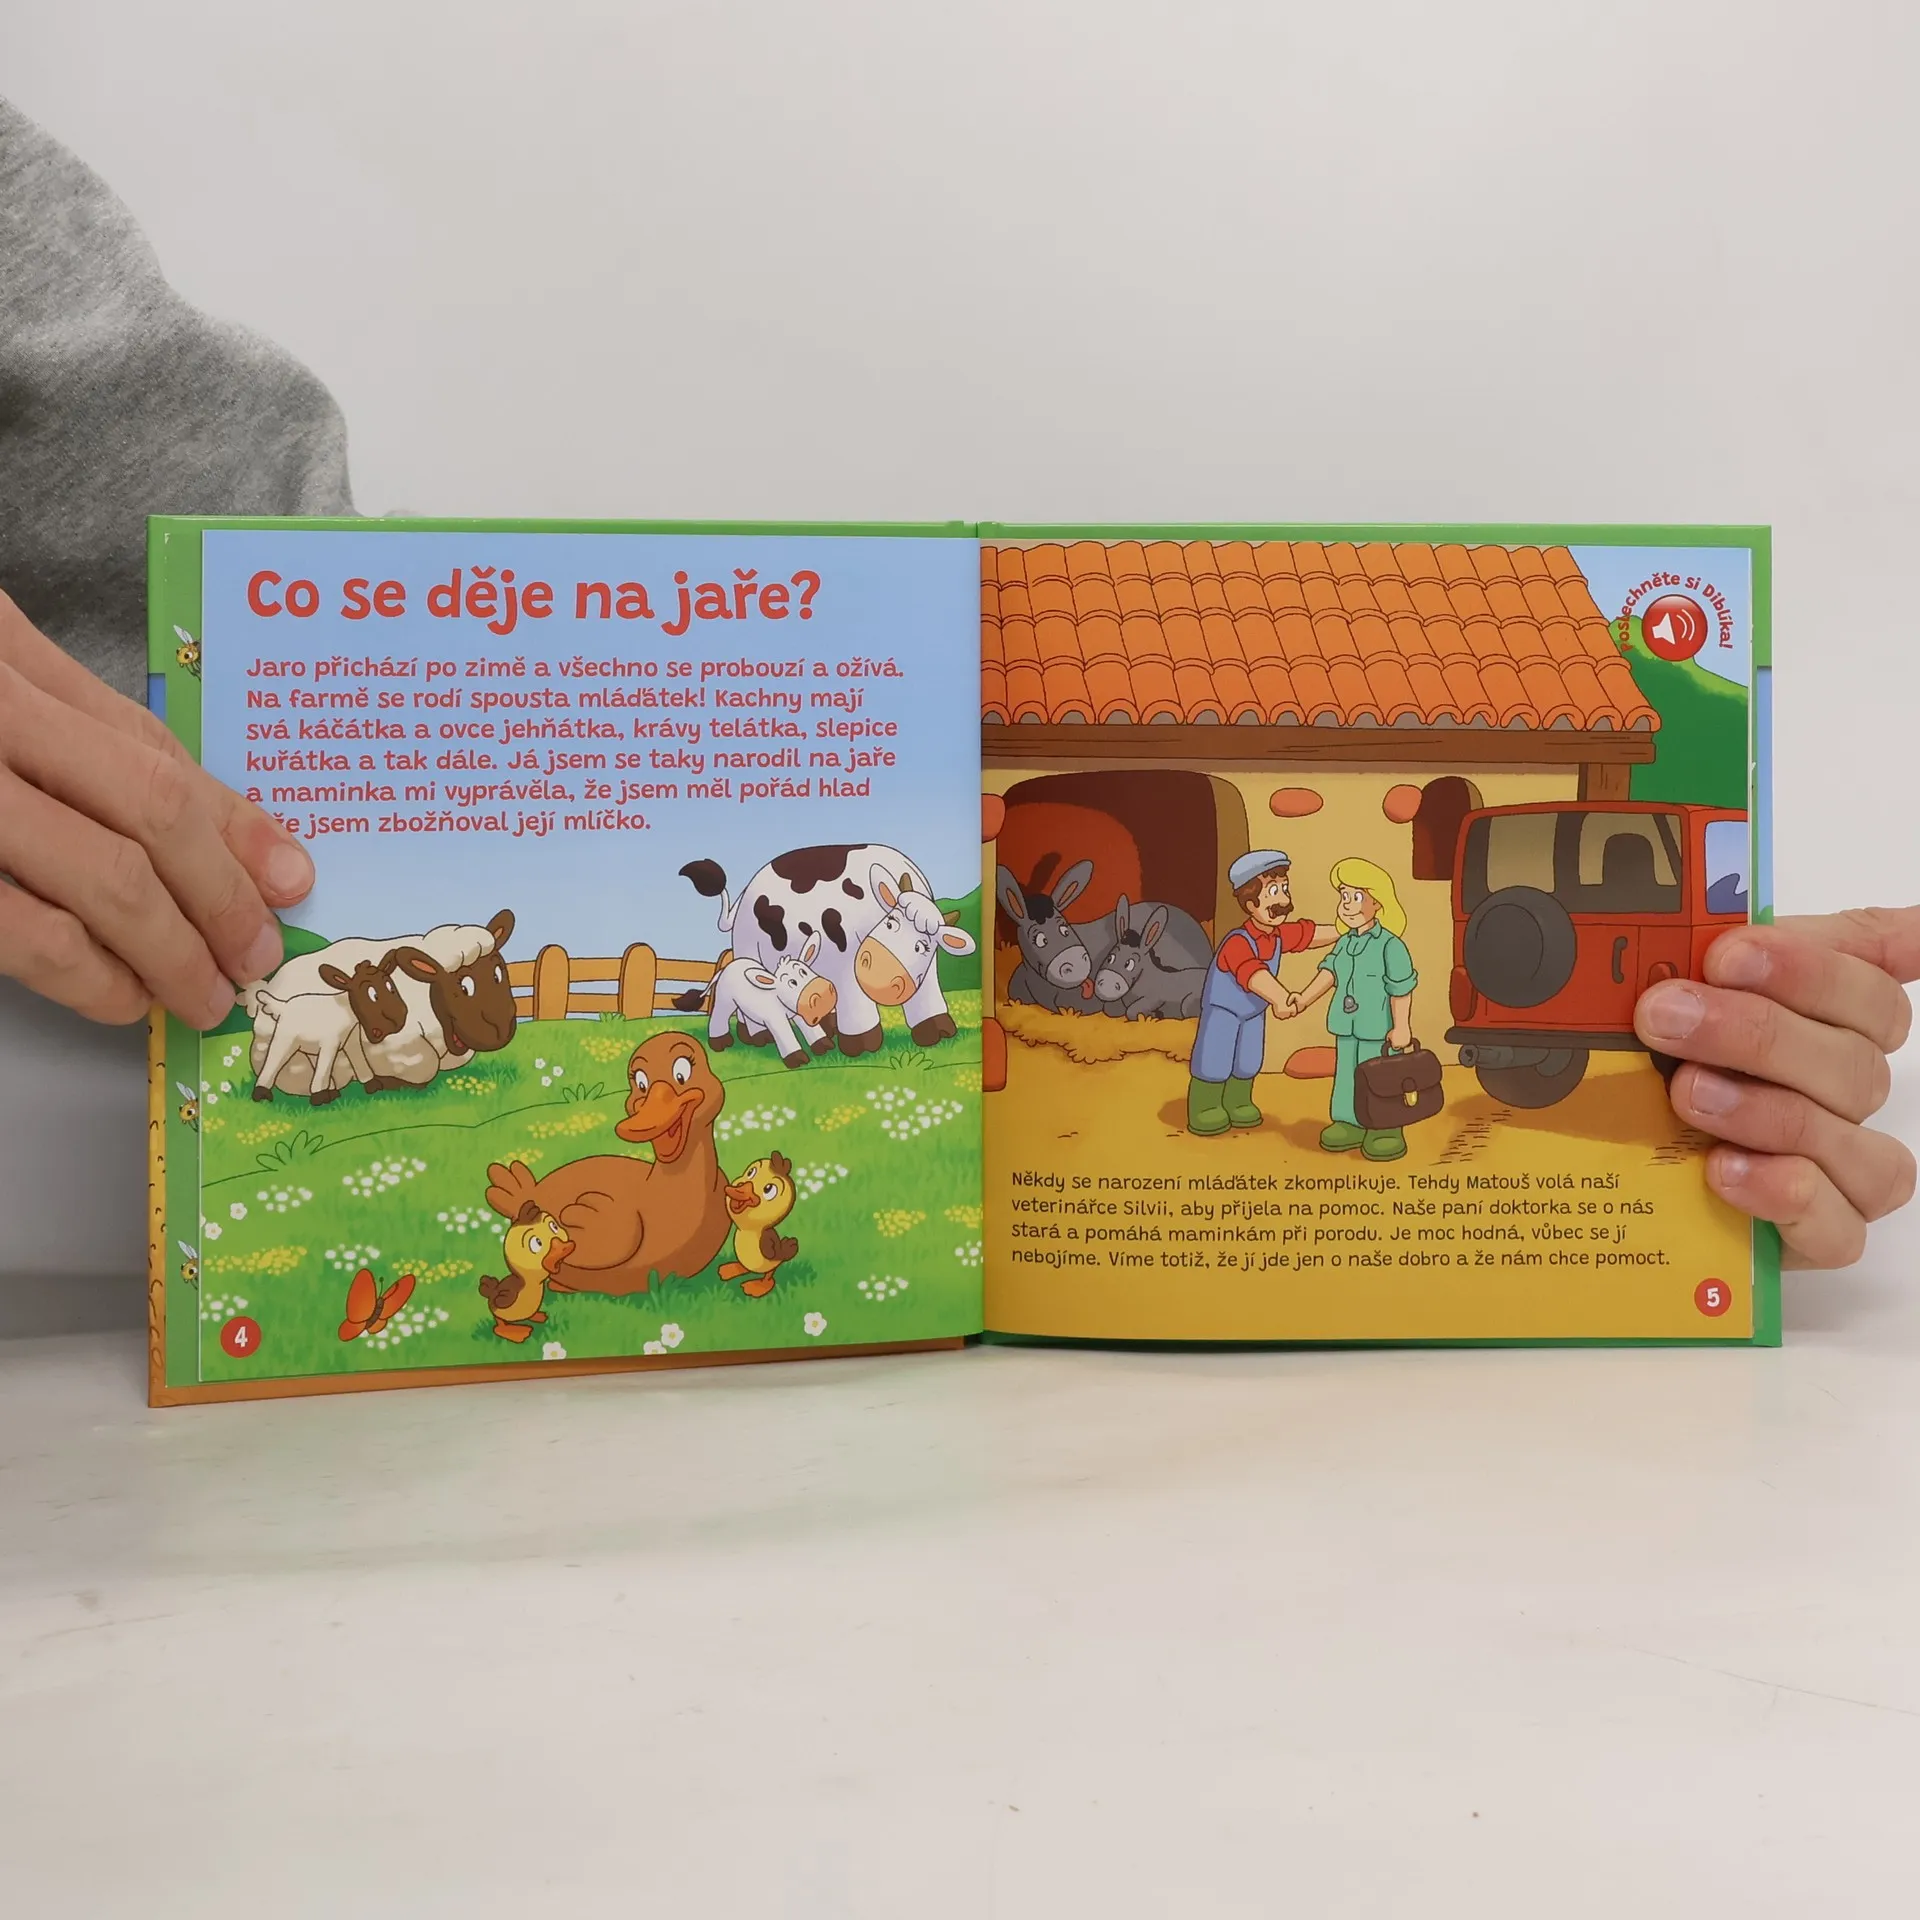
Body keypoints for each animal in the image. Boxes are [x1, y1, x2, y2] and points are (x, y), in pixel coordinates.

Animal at [681, 843, 976, 1057]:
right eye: (890, 923)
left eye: (922, 947)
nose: (881, 978)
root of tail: (745, 892)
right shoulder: (846, 964)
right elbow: (855, 1002)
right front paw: (861, 1047)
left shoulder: (927, 967)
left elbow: (926, 995)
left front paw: (937, 1034)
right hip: (748, 947)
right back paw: (757, 1038)